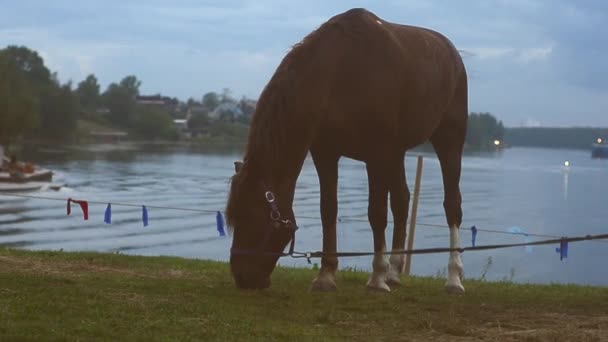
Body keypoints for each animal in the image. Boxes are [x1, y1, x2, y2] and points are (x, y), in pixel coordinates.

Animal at [226, 7, 468, 294]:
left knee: (451, 204)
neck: (341, 71)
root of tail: (452, 53)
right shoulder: (326, 153)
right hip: (397, 153)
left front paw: (376, 278)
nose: (242, 278)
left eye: (252, 216)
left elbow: (376, 213)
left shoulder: (377, 154)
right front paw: (326, 275)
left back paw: (452, 278)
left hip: (448, 141)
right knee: (401, 201)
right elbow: (328, 208)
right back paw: (395, 271)